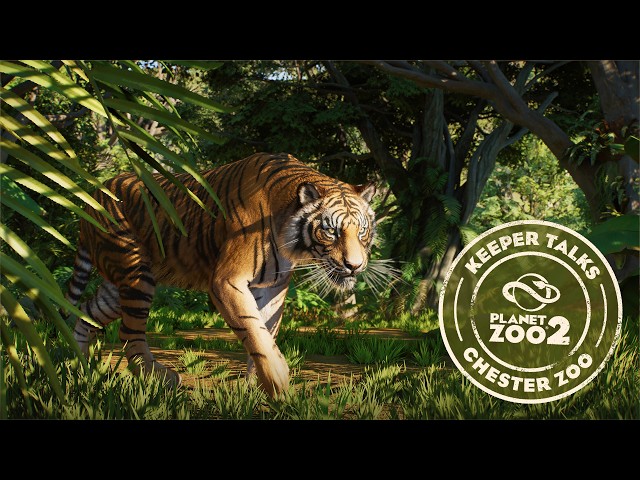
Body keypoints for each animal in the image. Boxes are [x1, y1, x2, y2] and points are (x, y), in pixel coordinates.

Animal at [65, 152, 377, 397]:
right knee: (130, 334)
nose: (355, 265)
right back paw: (163, 379)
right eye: (331, 231)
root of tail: (91, 197)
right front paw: (278, 382)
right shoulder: (227, 280)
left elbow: (266, 331)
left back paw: (78, 368)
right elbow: (254, 332)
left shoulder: (273, 286)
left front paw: (255, 387)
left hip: (119, 284)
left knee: (86, 311)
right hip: (136, 273)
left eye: (362, 231)